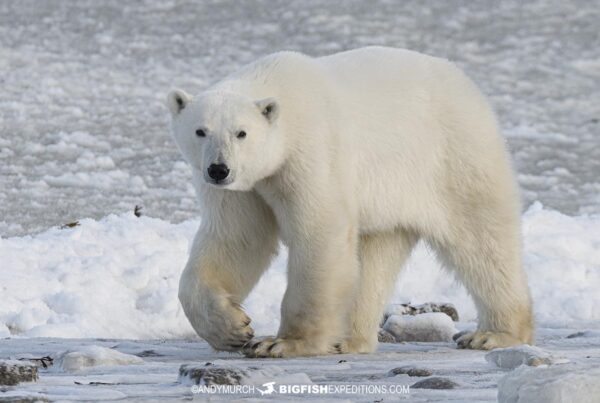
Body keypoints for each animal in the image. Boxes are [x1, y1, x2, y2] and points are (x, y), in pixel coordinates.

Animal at [169, 45, 536, 358]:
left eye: (241, 132)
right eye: (201, 131)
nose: (219, 169)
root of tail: (468, 86)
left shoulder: (312, 154)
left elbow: (319, 234)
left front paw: (281, 343)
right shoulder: (244, 189)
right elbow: (238, 239)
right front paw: (231, 329)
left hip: (454, 158)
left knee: (481, 240)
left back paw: (493, 334)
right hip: (391, 199)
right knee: (374, 259)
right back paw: (347, 339)